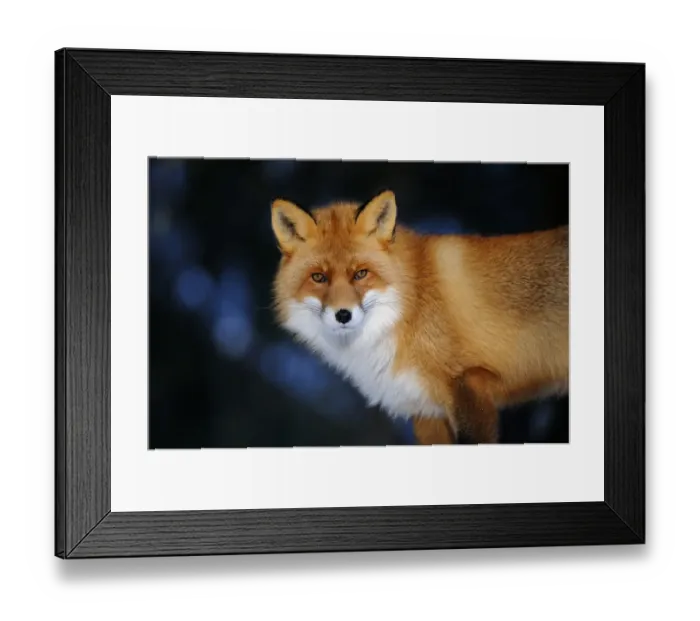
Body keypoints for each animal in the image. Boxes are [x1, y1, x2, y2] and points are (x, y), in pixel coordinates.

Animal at [271, 190, 569, 445]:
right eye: (318, 277)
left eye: (361, 274)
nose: (343, 315)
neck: (409, 308)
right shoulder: (428, 412)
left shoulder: (468, 385)